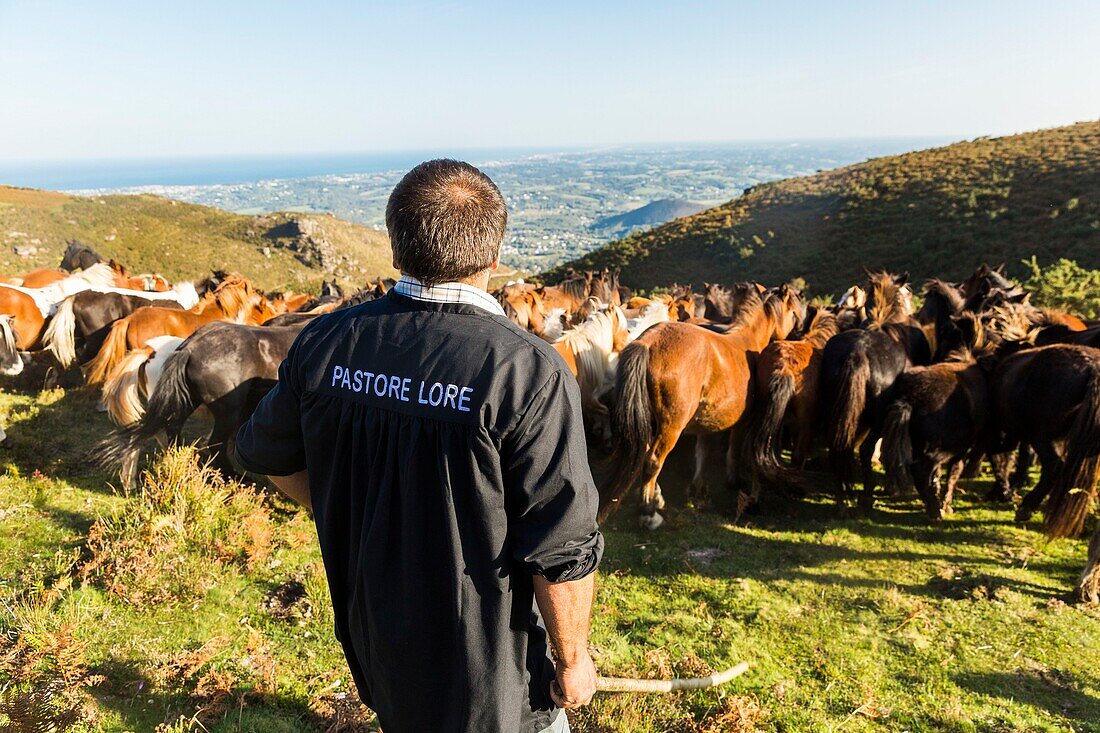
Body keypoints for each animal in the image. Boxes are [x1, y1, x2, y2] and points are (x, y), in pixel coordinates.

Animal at [598, 283, 805, 526]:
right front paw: (733, 480)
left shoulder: (707, 422)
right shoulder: (742, 423)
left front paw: (697, 487)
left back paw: (656, 497)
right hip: (671, 427)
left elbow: (702, 452)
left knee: (646, 456)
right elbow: (733, 450)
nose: (798, 332)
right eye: (793, 311)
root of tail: (648, 342)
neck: (747, 340)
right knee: (653, 460)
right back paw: (649, 512)